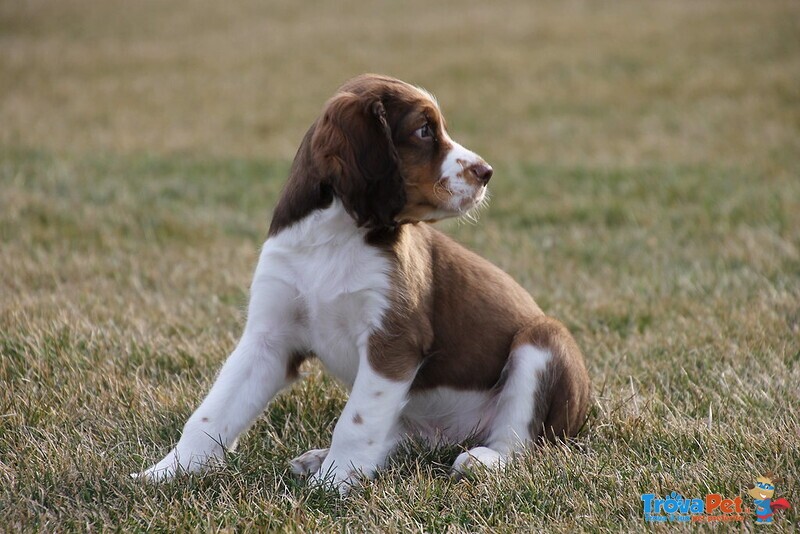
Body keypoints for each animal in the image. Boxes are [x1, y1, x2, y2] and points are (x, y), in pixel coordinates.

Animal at [134, 74, 592, 494]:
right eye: (424, 130)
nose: (486, 172)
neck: (335, 236)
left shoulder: (393, 340)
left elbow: (355, 421)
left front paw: (334, 483)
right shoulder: (269, 338)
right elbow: (211, 412)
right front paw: (166, 472)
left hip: (543, 341)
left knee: (518, 441)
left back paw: (481, 460)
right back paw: (318, 458)